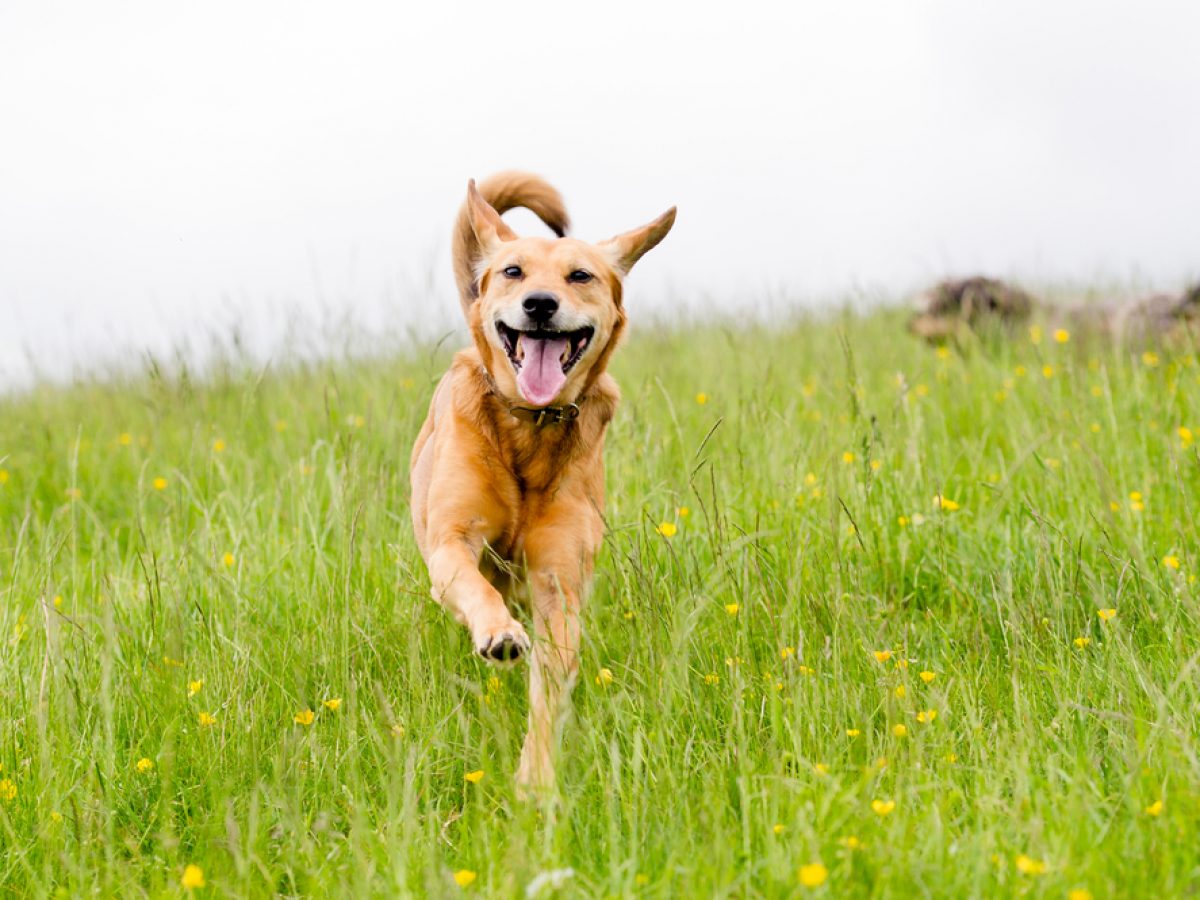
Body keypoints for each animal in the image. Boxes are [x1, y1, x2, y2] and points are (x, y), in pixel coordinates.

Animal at [410, 172, 676, 792]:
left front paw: (536, 779)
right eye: (514, 271)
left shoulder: (559, 583)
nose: (539, 303)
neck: (528, 427)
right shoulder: (451, 543)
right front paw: (498, 634)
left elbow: (550, 688)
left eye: (580, 275)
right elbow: (474, 586)